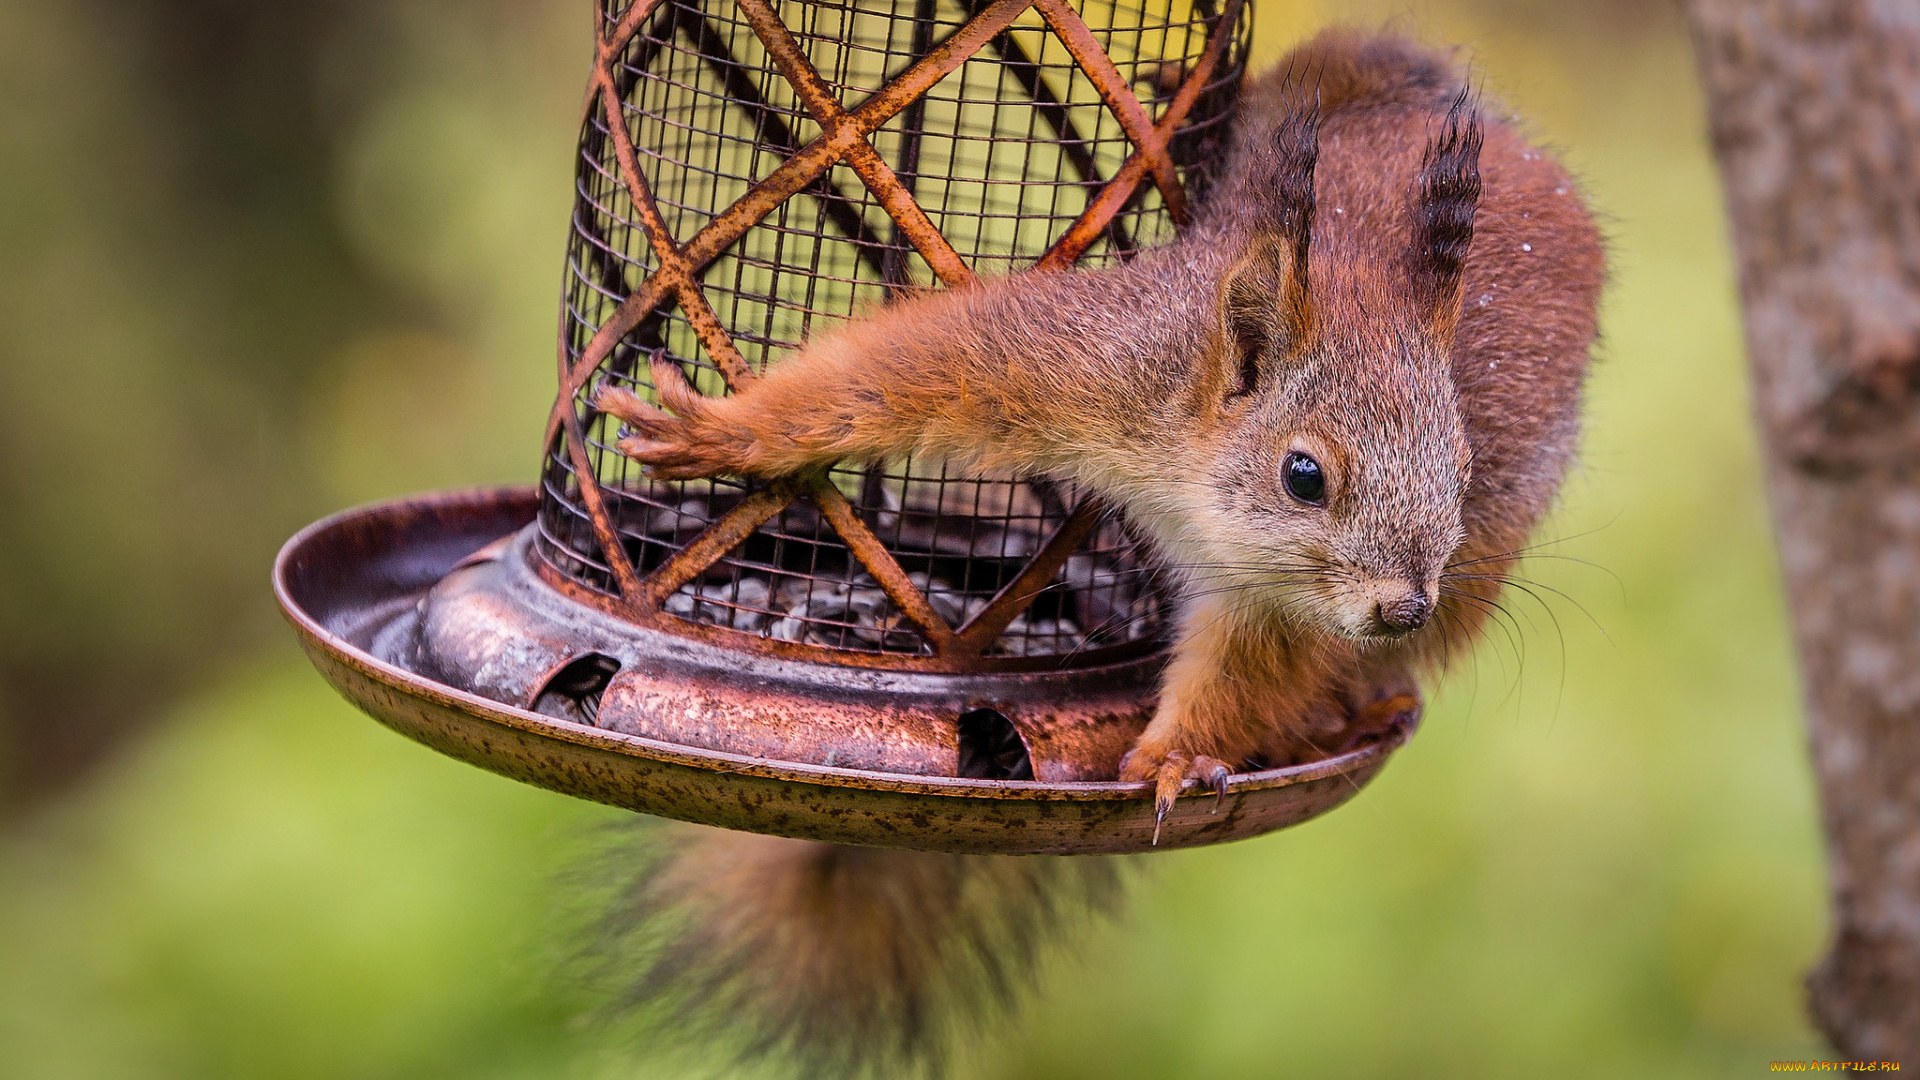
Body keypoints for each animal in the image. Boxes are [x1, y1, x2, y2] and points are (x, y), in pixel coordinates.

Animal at [587, 25, 1605, 1076]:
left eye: (1462, 463)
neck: (1190, 478)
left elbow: (1245, 668)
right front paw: (732, 432)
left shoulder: (1270, 598)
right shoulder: (1095, 361)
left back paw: (1346, 704)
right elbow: (913, 366)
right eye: (1303, 475)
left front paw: (1177, 757)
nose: (1402, 607)